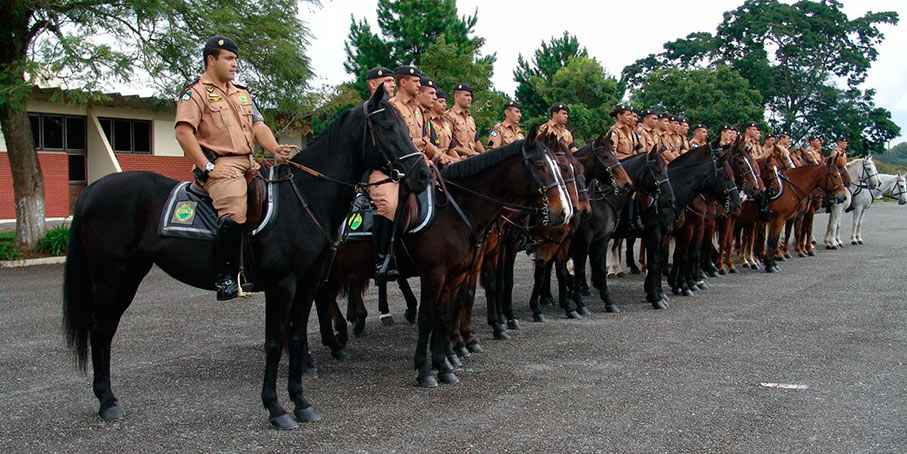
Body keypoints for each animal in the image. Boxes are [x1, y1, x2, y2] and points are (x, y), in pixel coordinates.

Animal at [61, 85, 432, 430]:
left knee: (106, 329)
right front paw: (276, 409)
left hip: (130, 274)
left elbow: (296, 337)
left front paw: (301, 403)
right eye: (387, 125)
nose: (423, 174)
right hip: (110, 276)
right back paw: (107, 401)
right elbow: (274, 343)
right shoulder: (281, 286)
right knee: (100, 329)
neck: (304, 200)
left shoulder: (307, 284)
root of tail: (94, 189)